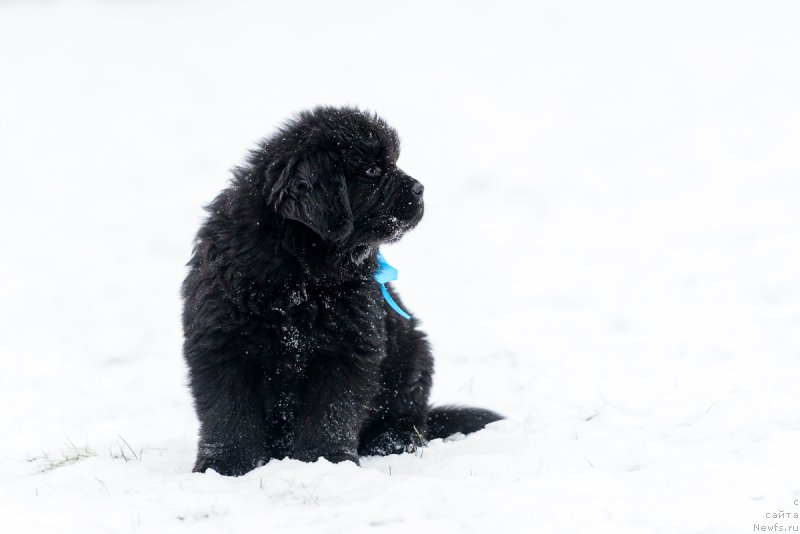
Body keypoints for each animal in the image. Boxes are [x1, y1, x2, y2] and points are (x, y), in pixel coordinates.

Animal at [184, 107, 504, 476]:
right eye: (373, 170)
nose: (421, 188)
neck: (299, 270)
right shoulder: (220, 342)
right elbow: (229, 413)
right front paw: (222, 467)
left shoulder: (347, 347)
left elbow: (331, 413)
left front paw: (325, 461)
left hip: (413, 355)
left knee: (410, 420)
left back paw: (391, 442)